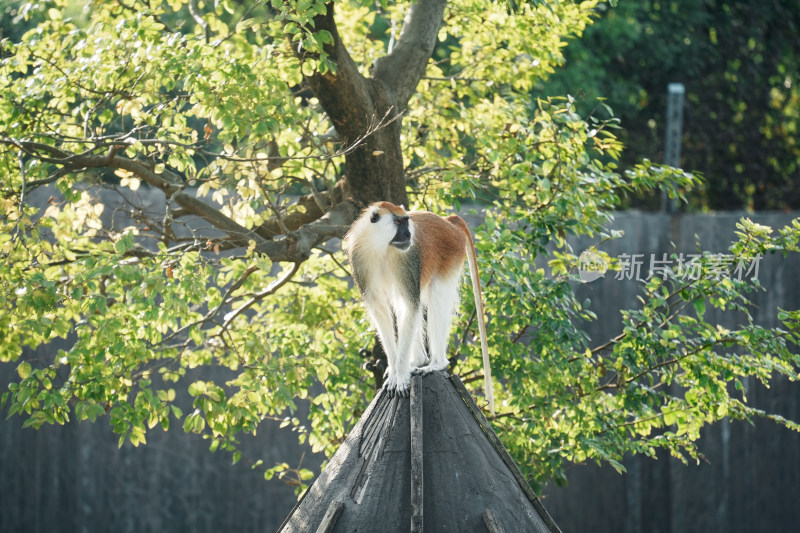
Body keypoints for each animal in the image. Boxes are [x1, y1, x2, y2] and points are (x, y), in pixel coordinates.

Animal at [346, 202, 494, 414]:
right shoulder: (360, 260)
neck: (381, 247)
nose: (409, 235)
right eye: (399, 222)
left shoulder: (407, 262)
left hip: (451, 253)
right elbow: (382, 312)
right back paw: (417, 361)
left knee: (436, 298)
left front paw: (400, 376)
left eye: (406, 221)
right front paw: (395, 371)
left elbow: (411, 307)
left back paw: (436, 364)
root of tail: (448, 222)